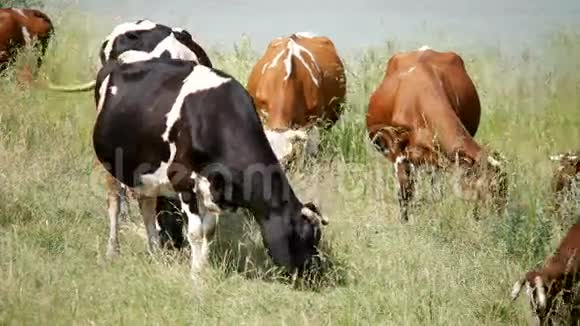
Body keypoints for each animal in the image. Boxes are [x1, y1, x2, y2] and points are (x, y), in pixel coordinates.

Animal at [94, 51, 328, 278]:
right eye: (305, 235)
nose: (316, 273)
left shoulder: (212, 188)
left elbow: (209, 230)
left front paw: (202, 268)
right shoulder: (182, 179)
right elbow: (196, 232)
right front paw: (196, 277)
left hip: (145, 171)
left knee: (147, 207)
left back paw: (154, 253)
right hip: (110, 164)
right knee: (114, 205)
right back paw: (112, 251)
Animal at [368, 45, 508, 223]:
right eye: (485, 190)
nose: (501, 221)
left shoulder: (439, 158)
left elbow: (436, 194)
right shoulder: (398, 152)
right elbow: (405, 193)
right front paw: (405, 222)